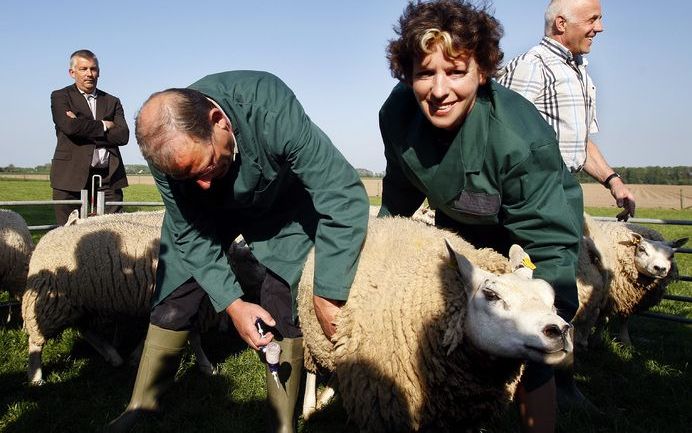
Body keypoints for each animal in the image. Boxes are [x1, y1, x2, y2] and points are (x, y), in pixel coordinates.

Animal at [22, 211, 219, 384]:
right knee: (36, 341)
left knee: (85, 329)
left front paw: (135, 356)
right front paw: (206, 366)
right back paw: (35, 377)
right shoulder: (194, 305)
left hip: (78, 302)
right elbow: (194, 338)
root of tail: (47, 237)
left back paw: (113, 356)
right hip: (50, 304)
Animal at [294, 218, 572, 430]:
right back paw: (310, 407)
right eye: (491, 295)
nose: (559, 331)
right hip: (313, 333)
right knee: (311, 369)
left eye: (551, 297)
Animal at [572, 213, 688, 348]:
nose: (660, 268)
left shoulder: (625, 298)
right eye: (642, 249)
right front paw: (597, 338)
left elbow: (624, 319)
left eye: (671, 255)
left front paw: (625, 341)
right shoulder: (611, 296)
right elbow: (603, 318)